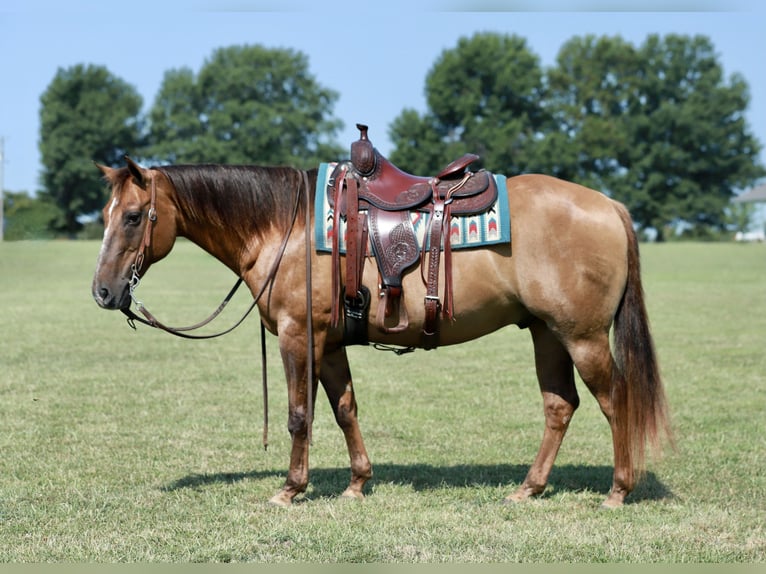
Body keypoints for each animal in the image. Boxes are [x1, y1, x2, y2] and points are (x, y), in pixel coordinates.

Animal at [91, 156, 672, 508]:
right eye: (105, 213)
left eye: (134, 216)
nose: (102, 292)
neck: (282, 228)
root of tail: (608, 205)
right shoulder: (328, 343)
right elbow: (345, 408)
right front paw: (357, 483)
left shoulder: (298, 336)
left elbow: (299, 415)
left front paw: (291, 489)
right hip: (547, 333)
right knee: (560, 406)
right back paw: (528, 488)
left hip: (584, 336)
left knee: (615, 400)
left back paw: (618, 491)